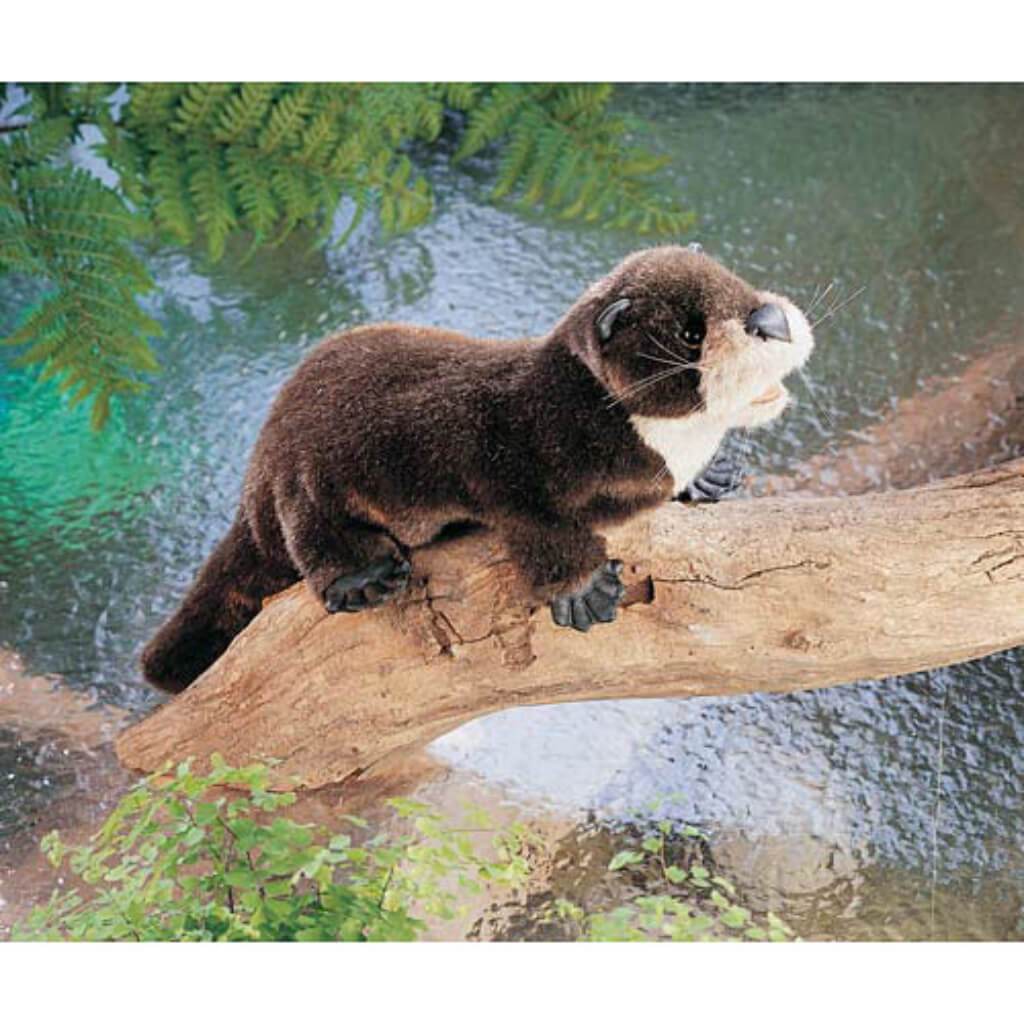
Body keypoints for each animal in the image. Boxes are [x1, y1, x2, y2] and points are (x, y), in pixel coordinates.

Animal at [142, 244, 814, 693]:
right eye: (691, 333)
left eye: (741, 286)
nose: (769, 320)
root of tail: (254, 474)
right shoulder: (511, 460)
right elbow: (540, 528)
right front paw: (583, 592)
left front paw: (707, 478)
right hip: (303, 475)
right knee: (310, 533)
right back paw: (362, 578)